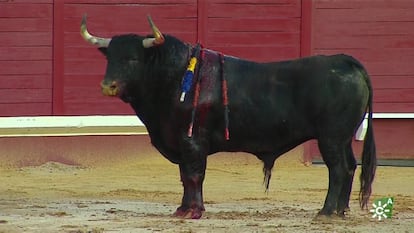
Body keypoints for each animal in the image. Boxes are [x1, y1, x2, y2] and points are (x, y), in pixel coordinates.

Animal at [80, 14, 376, 218]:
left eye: (133, 59)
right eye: (109, 58)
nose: (108, 86)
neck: (175, 77)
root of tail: (344, 61)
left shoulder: (192, 141)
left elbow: (194, 175)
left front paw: (194, 211)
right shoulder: (180, 141)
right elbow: (184, 175)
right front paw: (182, 209)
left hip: (331, 138)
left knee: (337, 169)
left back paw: (325, 212)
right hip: (342, 138)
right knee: (350, 166)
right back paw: (340, 211)